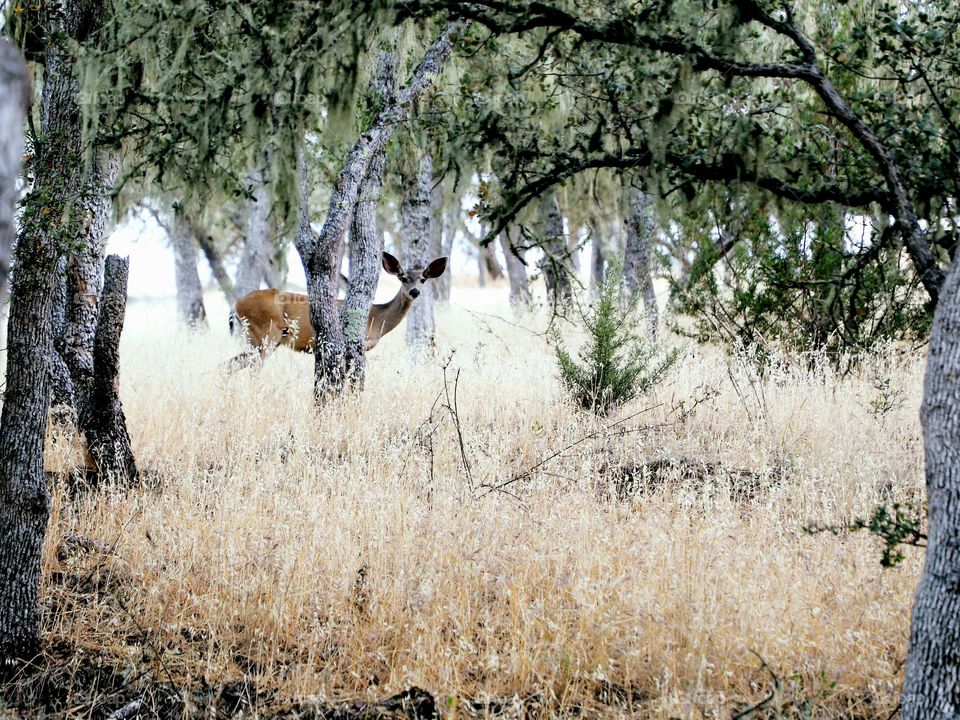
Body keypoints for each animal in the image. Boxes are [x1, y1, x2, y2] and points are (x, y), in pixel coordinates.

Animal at [230, 252, 450, 366]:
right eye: (403, 278)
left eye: (423, 279)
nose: (415, 291)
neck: (377, 318)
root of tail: (236, 305)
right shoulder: (358, 344)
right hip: (266, 334)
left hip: (255, 339)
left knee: (230, 365)